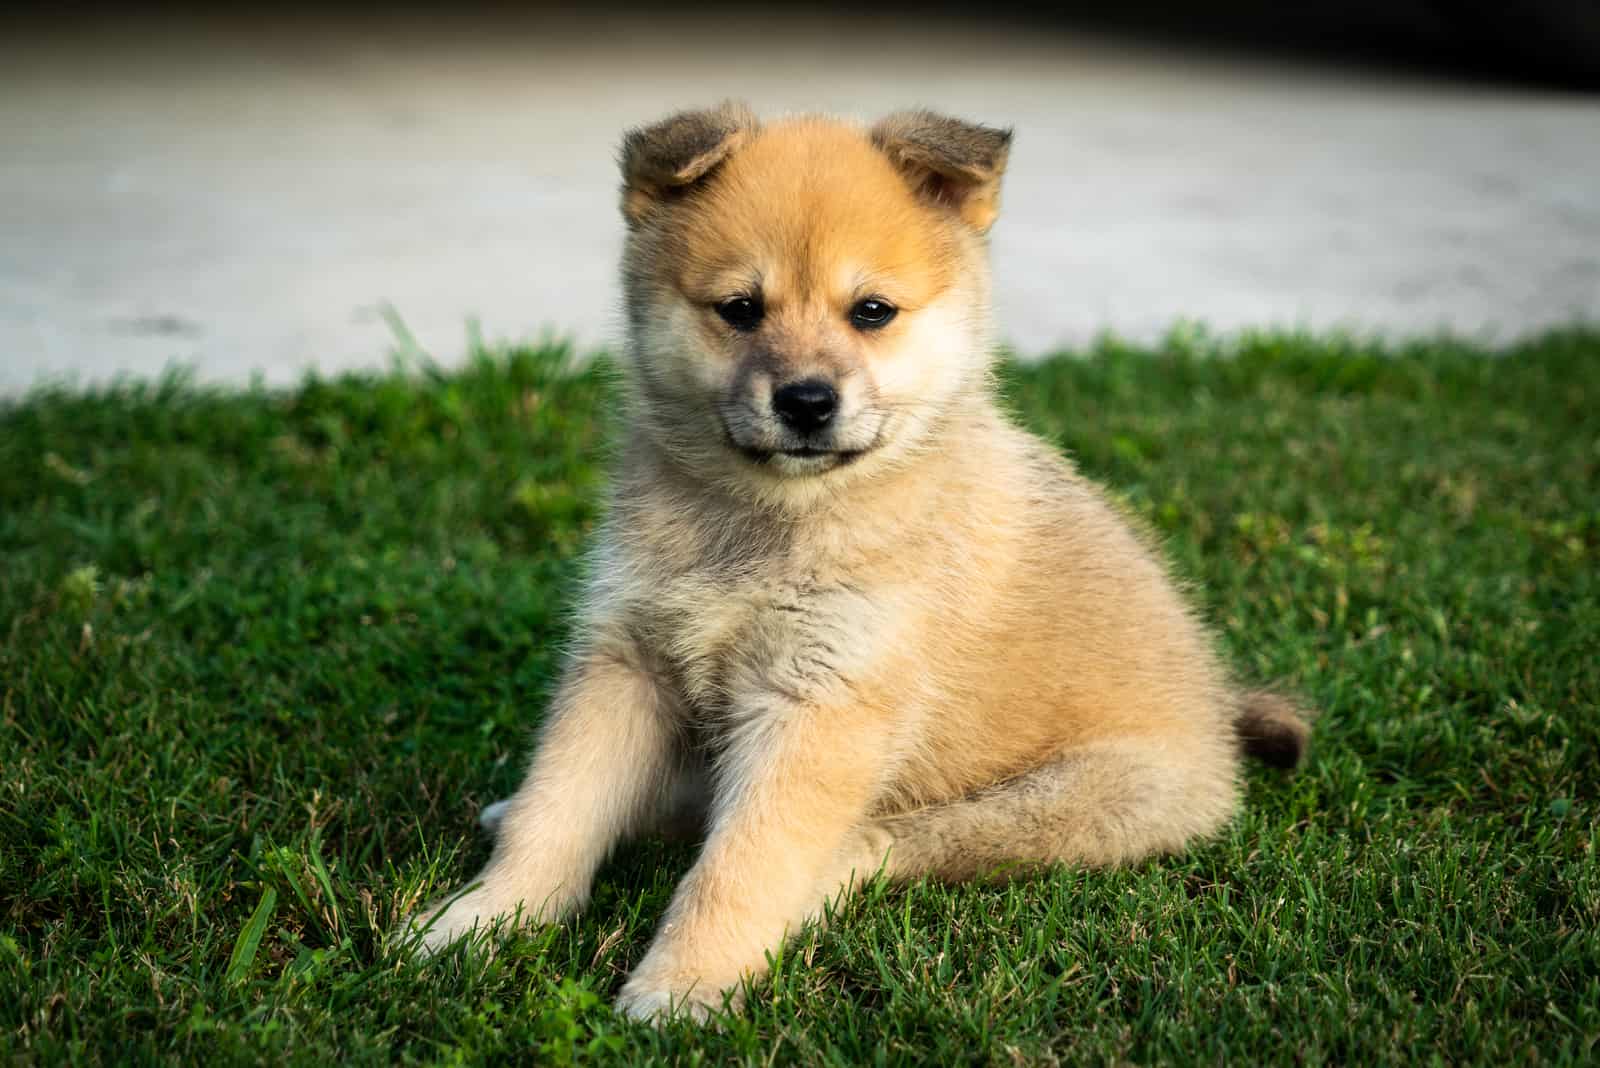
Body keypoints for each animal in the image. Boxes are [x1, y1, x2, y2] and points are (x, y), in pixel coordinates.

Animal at [416, 103, 1312, 1023]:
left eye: (872, 311)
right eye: (740, 309)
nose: (807, 402)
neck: (770, 520)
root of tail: (1217, 714)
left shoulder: (826, 702)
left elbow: (741, 865)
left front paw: (685, 983)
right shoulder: (628, 661)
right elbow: (559, 808)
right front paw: (485, 919)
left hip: (1068, 801)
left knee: (872, 846)